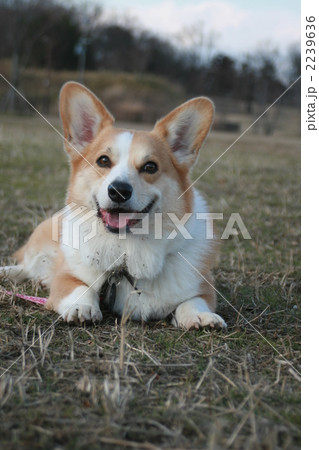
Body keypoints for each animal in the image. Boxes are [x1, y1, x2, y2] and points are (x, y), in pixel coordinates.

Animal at [1, 82, 228, 330]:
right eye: (103, 160)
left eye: (150, 166)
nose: (119, 190)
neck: (127, 250)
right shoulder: (65, 276)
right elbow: (80, 287)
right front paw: (82, 307)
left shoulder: (203, 287)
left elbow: (194, 301)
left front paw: (201, 316)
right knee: (26, 266)